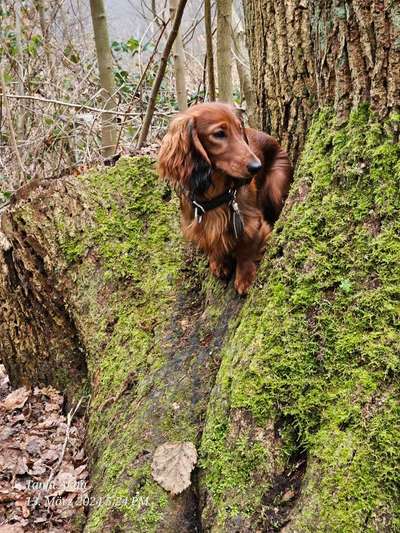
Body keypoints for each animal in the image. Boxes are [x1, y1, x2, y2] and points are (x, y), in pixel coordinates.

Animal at [158, 102, 292, 294]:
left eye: (239, 129)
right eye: (219, 134)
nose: (257, 167)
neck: (215, 193)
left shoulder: (252, 221)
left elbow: (247, 247)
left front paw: (245, 277)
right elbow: (212, 243)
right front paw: (218, 262)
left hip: (276, 189)